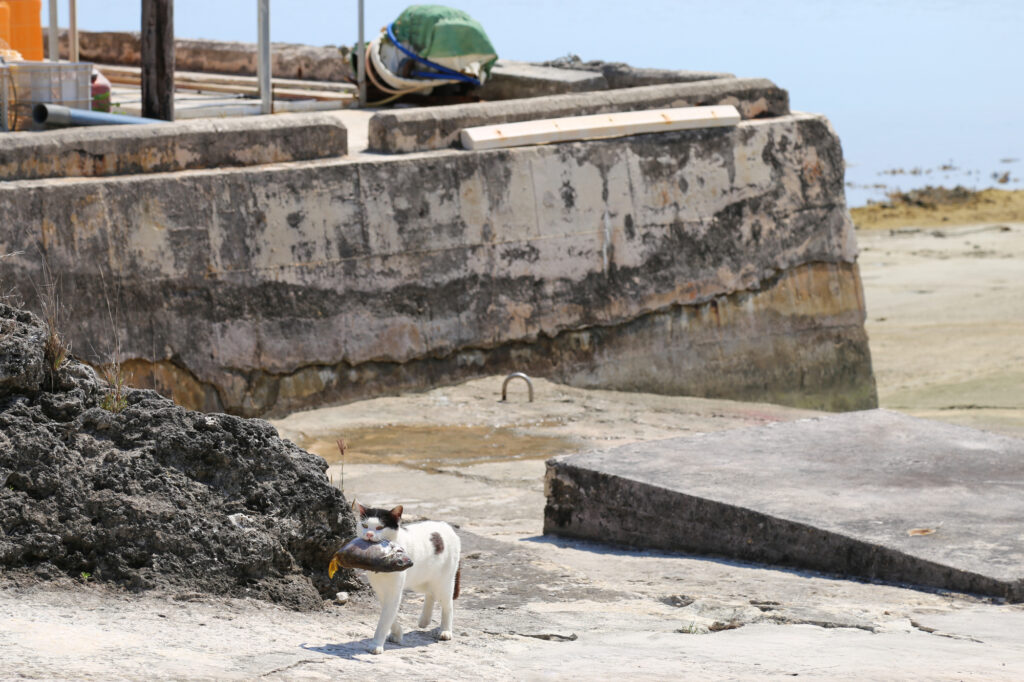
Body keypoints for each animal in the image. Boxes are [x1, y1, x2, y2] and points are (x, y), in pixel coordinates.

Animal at [352, 499, 464, 655]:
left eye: (380, 527)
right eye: (364, 525)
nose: (368, 534)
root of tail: (446, 525)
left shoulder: (394, 591)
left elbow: (385, 619)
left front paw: (376, 644)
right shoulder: (380, 590)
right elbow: (389, 613)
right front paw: (397, 633)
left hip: (444, 581)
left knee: (447, 604)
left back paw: (445, 630)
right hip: (421, 579)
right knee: (430, 594)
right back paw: (424, 620)